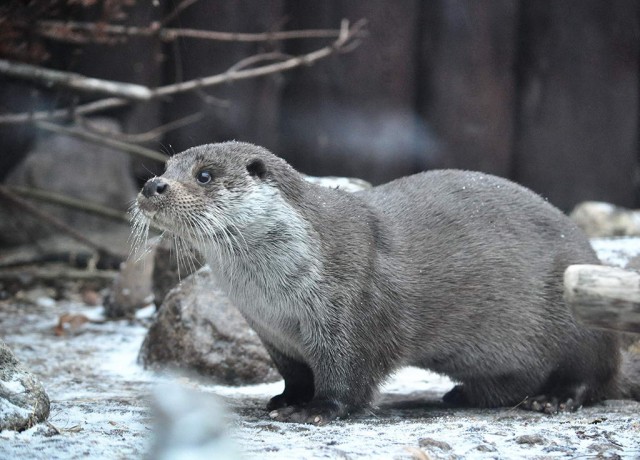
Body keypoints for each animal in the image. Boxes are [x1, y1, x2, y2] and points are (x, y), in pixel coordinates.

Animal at [131, 140, 640, 424]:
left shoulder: (353, 312)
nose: (152, 186)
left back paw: (551, 399)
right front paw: (283, 400)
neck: (275, 296)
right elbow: (295, 374)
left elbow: (350, 376)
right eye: (166, 168)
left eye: (204, 174)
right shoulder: (272, 334)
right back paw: (461, 394)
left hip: (579, 322)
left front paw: (316, 409)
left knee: (593, 377)